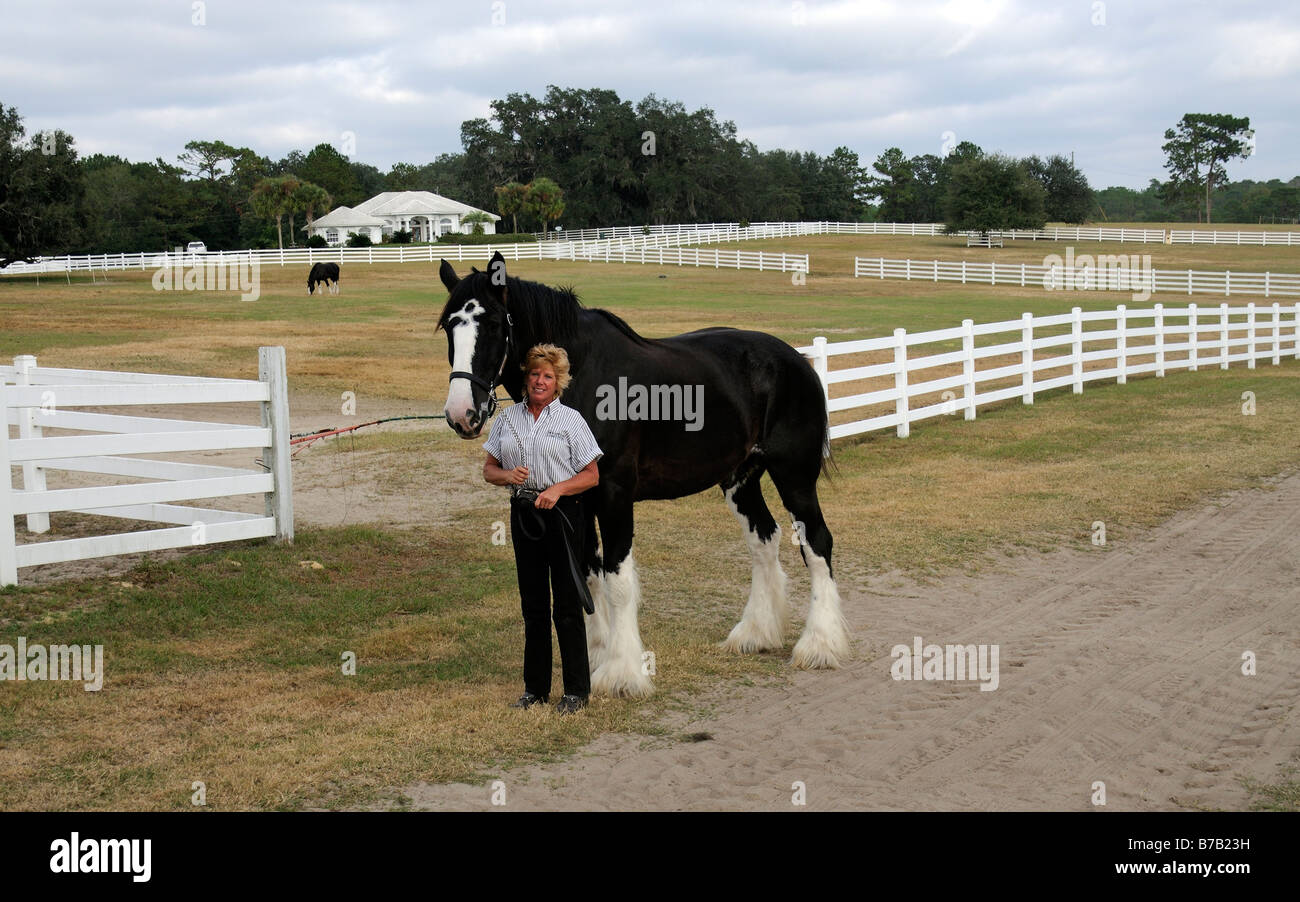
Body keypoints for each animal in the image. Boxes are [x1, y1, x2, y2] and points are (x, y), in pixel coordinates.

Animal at [437, 251, 849, 697]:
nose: (462, 414)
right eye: (448, 326)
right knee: (764, 540)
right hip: (741, 479)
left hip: (794, 475)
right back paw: (756, 633)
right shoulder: (574, 499)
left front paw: (622, 673)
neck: (583, 376)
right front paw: (597, 654)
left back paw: (819, 645)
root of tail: (795, 361)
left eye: (494, 324)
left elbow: (617, 582)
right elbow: (588, 574)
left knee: (817, 543)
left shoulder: (614, 494)